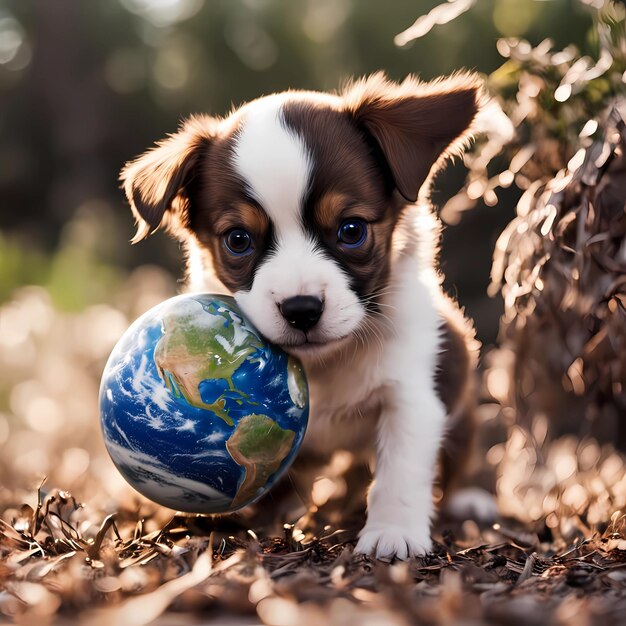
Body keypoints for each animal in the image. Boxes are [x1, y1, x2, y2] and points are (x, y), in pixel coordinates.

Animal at [123, 73, 482, 556]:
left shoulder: (412, 393)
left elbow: (402, 466)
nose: (301, 310)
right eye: (238, 240)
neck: (325, 364)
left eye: (352, 230)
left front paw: (394, 531)